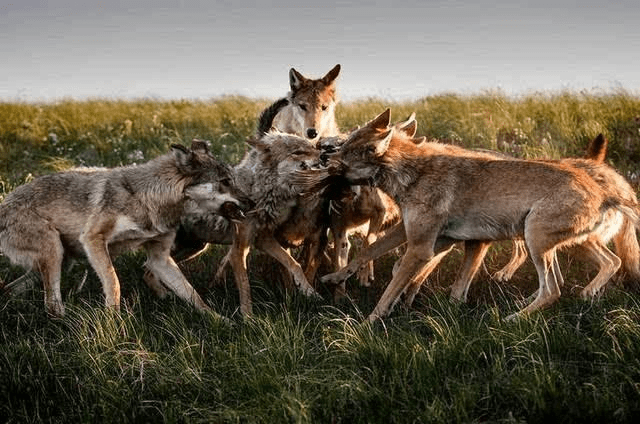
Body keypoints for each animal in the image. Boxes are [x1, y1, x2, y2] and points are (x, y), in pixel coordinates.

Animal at [0, 141, 248, 316]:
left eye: (233, 180)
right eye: (225, 181)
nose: (252, 202)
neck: (149, 199)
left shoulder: (160, 258)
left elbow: (192, 294)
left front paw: (219, 320)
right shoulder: (93, 238)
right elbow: (114, 282)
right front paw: (113, 321)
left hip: (61, 261)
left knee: (12, 290)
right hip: (54, 254)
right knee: (51, 305)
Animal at [312, 109, 636, 322]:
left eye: (342, 148)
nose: (321, 153)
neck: (413, 173)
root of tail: (604, 189)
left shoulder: (421, 247)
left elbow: (389, 290)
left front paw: (369, 323)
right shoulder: (418, 234)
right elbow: (368, 252)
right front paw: (335, 277)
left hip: (536, 240)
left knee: (554, 289)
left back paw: (513, 319)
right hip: (550, 244)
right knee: (570, 278)